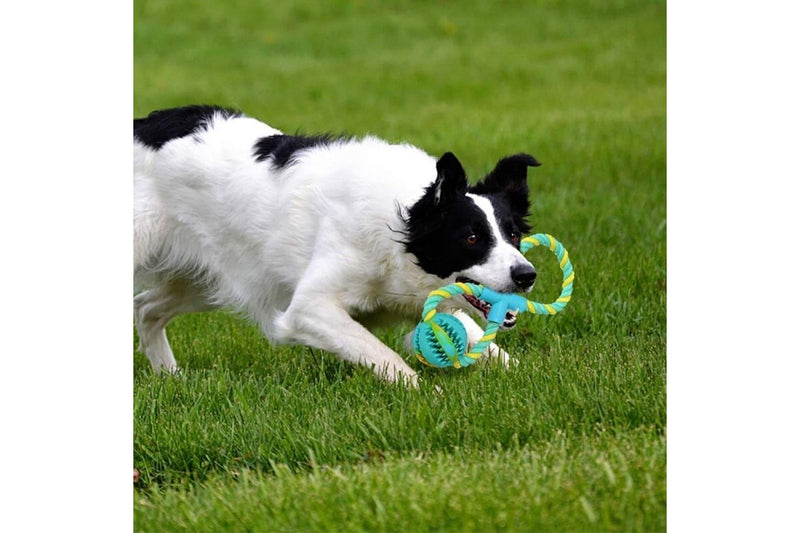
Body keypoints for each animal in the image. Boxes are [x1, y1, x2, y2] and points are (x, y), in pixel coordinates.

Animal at [134, 105, 540, 386]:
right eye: (471, 238)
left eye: (513, 236)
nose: (527, 275)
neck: (401, 223)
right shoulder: (309, 309)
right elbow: (383, 355)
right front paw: (427, 393)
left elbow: (483, 341)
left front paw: (526, 376)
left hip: (215, 276)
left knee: (146, 307)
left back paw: (171, 378)